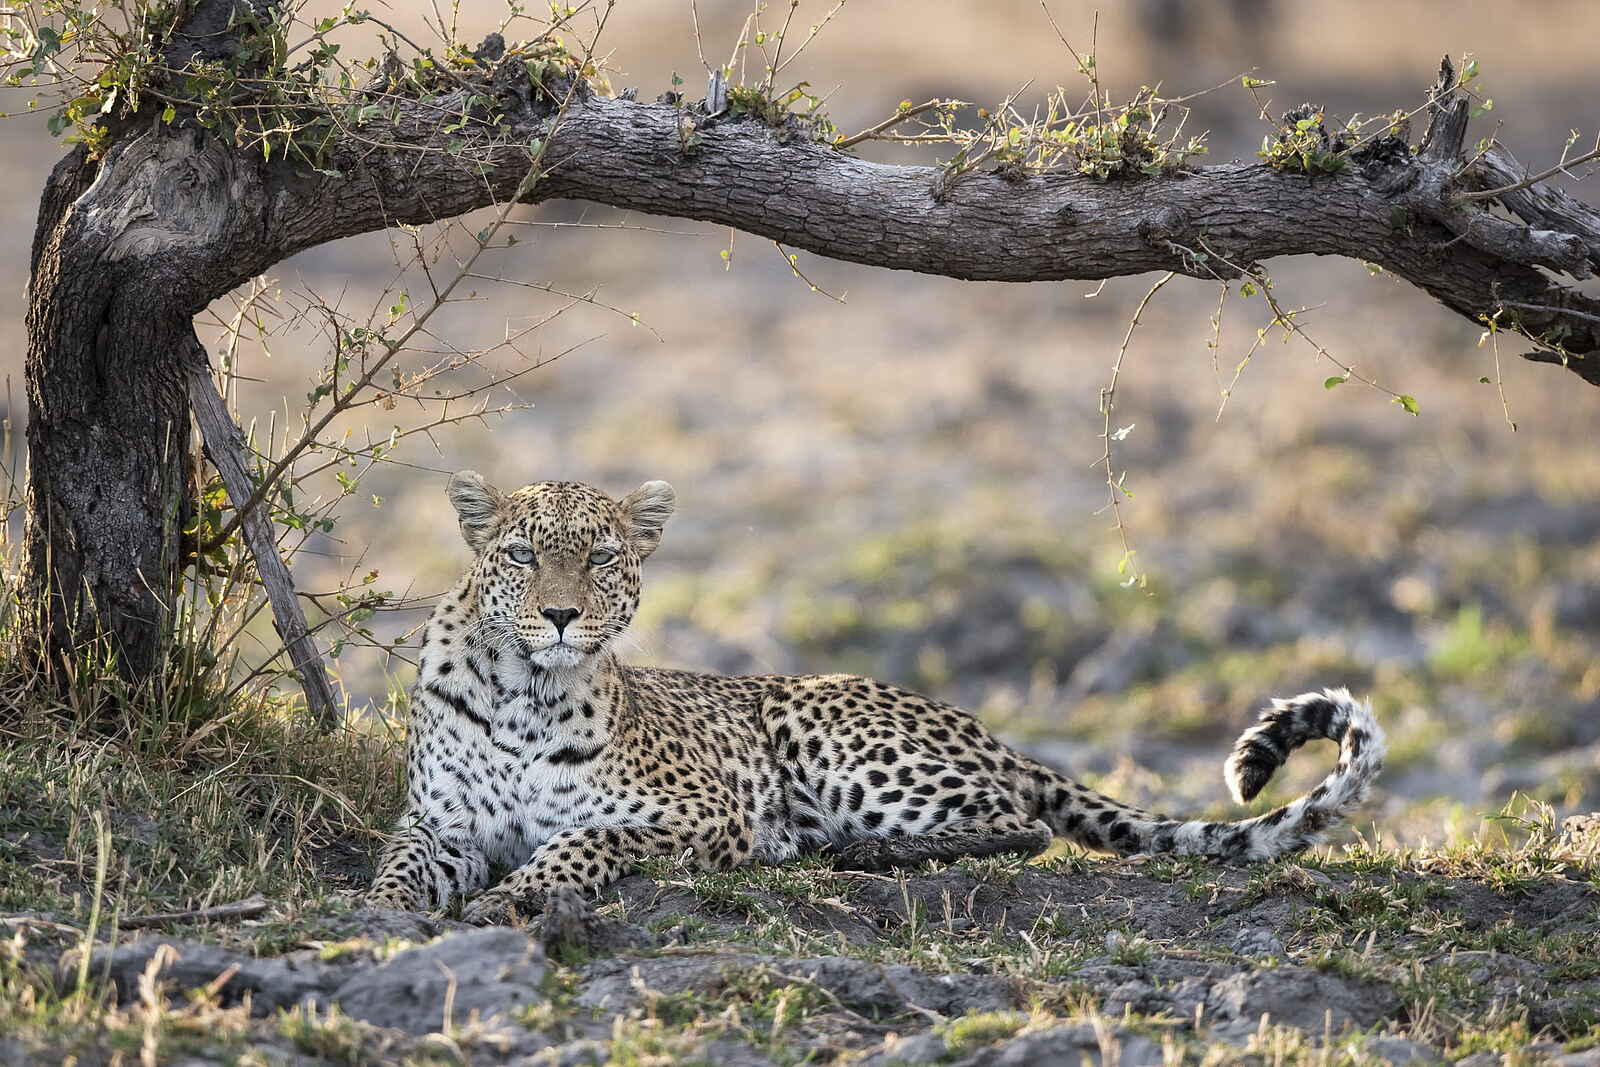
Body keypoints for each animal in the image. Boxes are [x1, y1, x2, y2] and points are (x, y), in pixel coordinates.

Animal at [368, 473, 1386, 924]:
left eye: (602, 555)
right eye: (521, 553)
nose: (561, 613)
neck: (522, 694)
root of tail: (988, 731)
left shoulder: (696, 810)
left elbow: (582, 842)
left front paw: (516, 898)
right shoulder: (439, 822)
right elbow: (400, 864)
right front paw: (384, 913)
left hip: (825, 728)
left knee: (1021, 823)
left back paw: (845, 850)